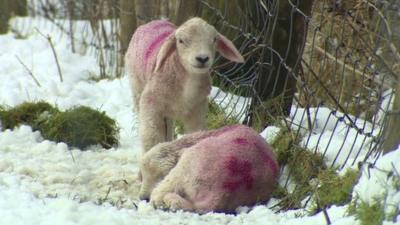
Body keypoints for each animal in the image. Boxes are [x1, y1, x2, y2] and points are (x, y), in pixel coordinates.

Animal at [125, 17, 244, 152]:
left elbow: (195, 133)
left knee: (169, 125)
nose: (202, 58)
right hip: (136, 86)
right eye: (181, 41)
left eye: (214, 39)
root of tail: (153, 21)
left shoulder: (198, 108)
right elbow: (151, 136)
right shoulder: (151, 102)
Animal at [139, 124, 280, 214]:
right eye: (142, 176)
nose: (143, 197)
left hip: (189, 164)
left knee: (161, 193)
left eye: (160, 175)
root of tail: (220, 193)